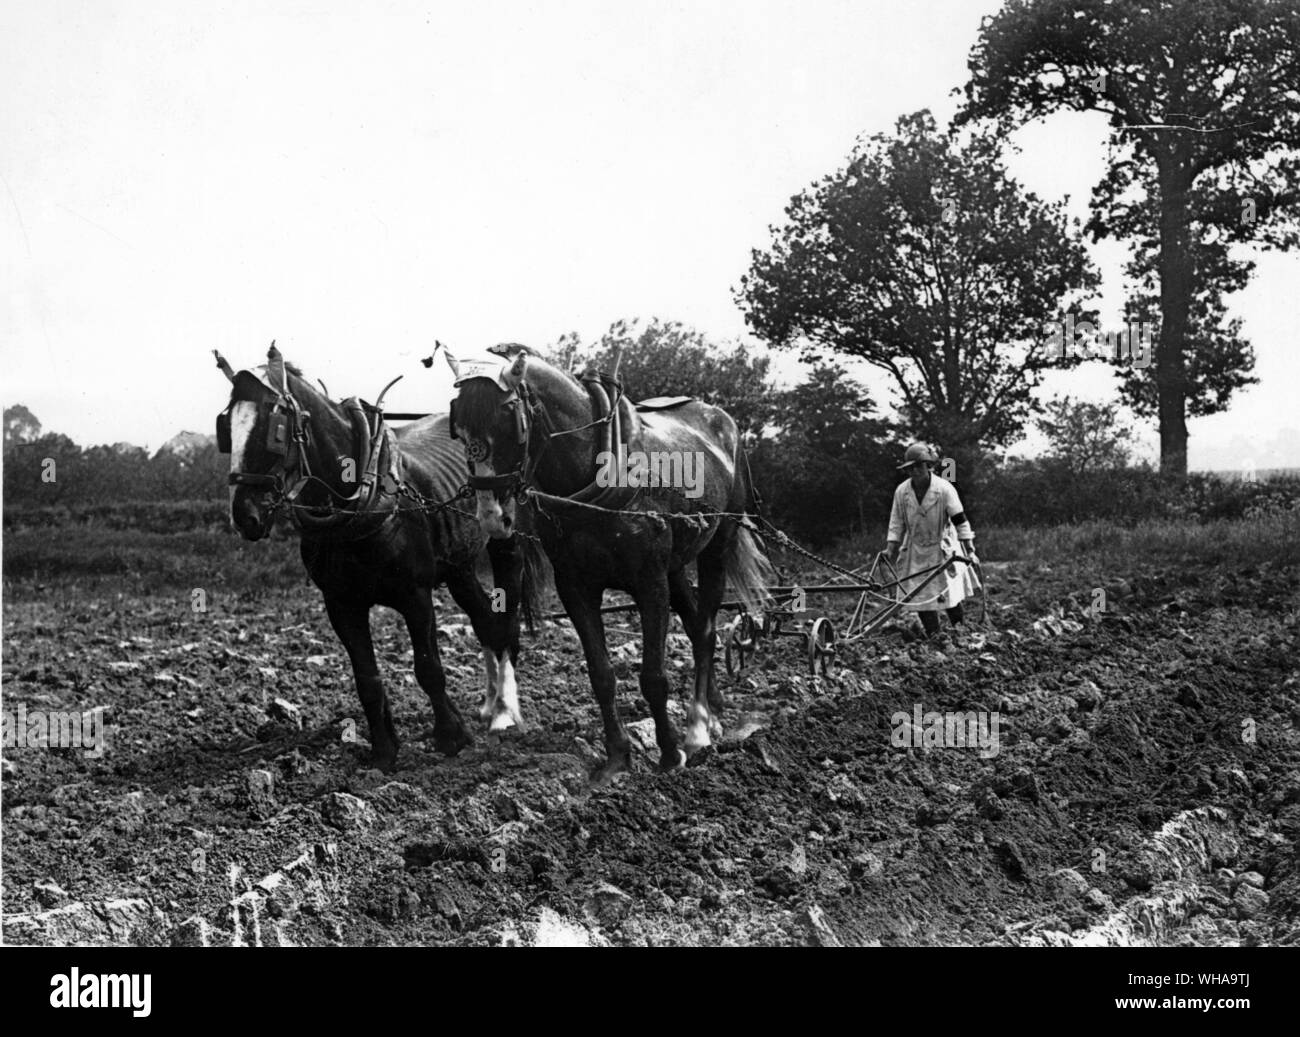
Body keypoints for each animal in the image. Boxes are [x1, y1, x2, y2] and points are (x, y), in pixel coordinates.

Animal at [217, 343, 538, 769]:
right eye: (226, 427)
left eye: (276, 426)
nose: (244, 515)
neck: (357, 500)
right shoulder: (341, 605)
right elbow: (366, 678)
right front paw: (385, 750)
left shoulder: (414, 595)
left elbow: (428, 667)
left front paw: (451, 737)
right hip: (459, 568)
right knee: (485, 621)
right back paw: (489, 707)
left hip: (505, 545)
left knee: (505, 627)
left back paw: (505, 710)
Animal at [449, 345, 769, 784]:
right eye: (458, 427)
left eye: (507, 414)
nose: (492, 518)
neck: (597, 468)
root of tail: (724, 423)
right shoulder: (575, 588)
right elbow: (601, 674)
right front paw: (617, 759)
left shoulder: (649, 583)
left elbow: (653, 676)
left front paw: (669, 754)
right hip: (675, 567)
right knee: (696, 628)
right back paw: (713, 713)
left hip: (716, 548)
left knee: (705, 629)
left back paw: (697, 730)